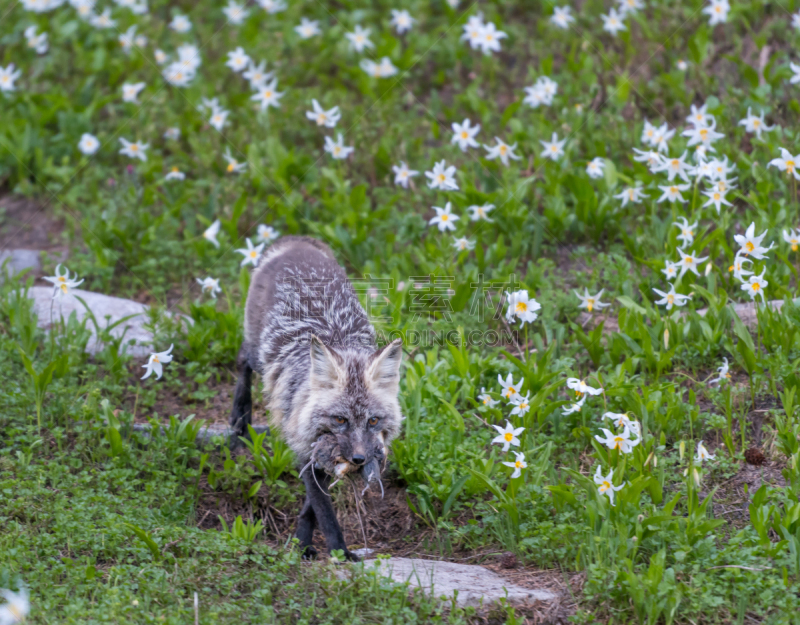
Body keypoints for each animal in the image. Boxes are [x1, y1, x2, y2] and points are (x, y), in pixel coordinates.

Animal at [231, 235, 406, 560]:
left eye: (373, 421)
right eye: (340, 419)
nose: (360, 459)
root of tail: (295, 242)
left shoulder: (320, 458)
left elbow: (310, 509)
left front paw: (303, 543)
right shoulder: (305, 448)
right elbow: (324, 511)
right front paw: (339, 552)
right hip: (260, 357)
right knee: (243, 358)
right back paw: (239, 417)